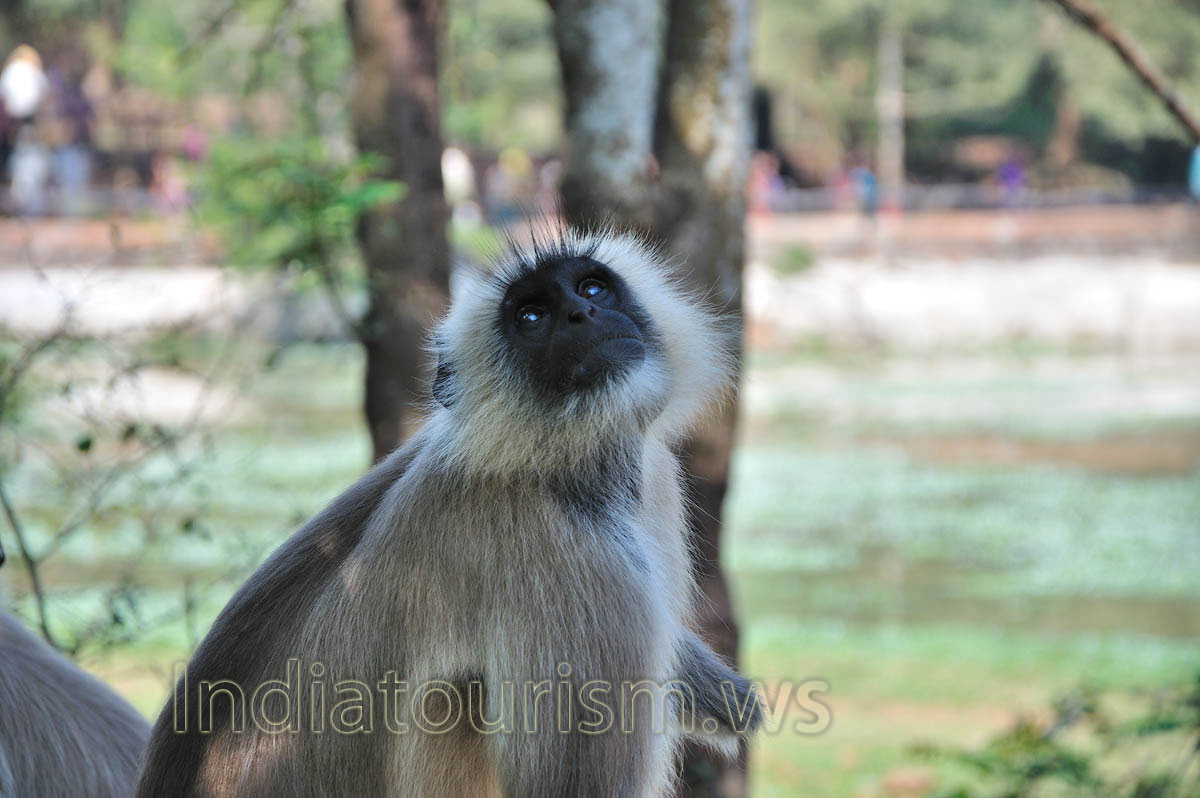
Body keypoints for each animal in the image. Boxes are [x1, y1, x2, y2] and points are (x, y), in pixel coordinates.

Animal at [136, 228, 762, 798]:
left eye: (592, 287)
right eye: (532, 316)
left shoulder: (651, 475)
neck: (555, 465)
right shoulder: (555, 546)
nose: (581, 313)